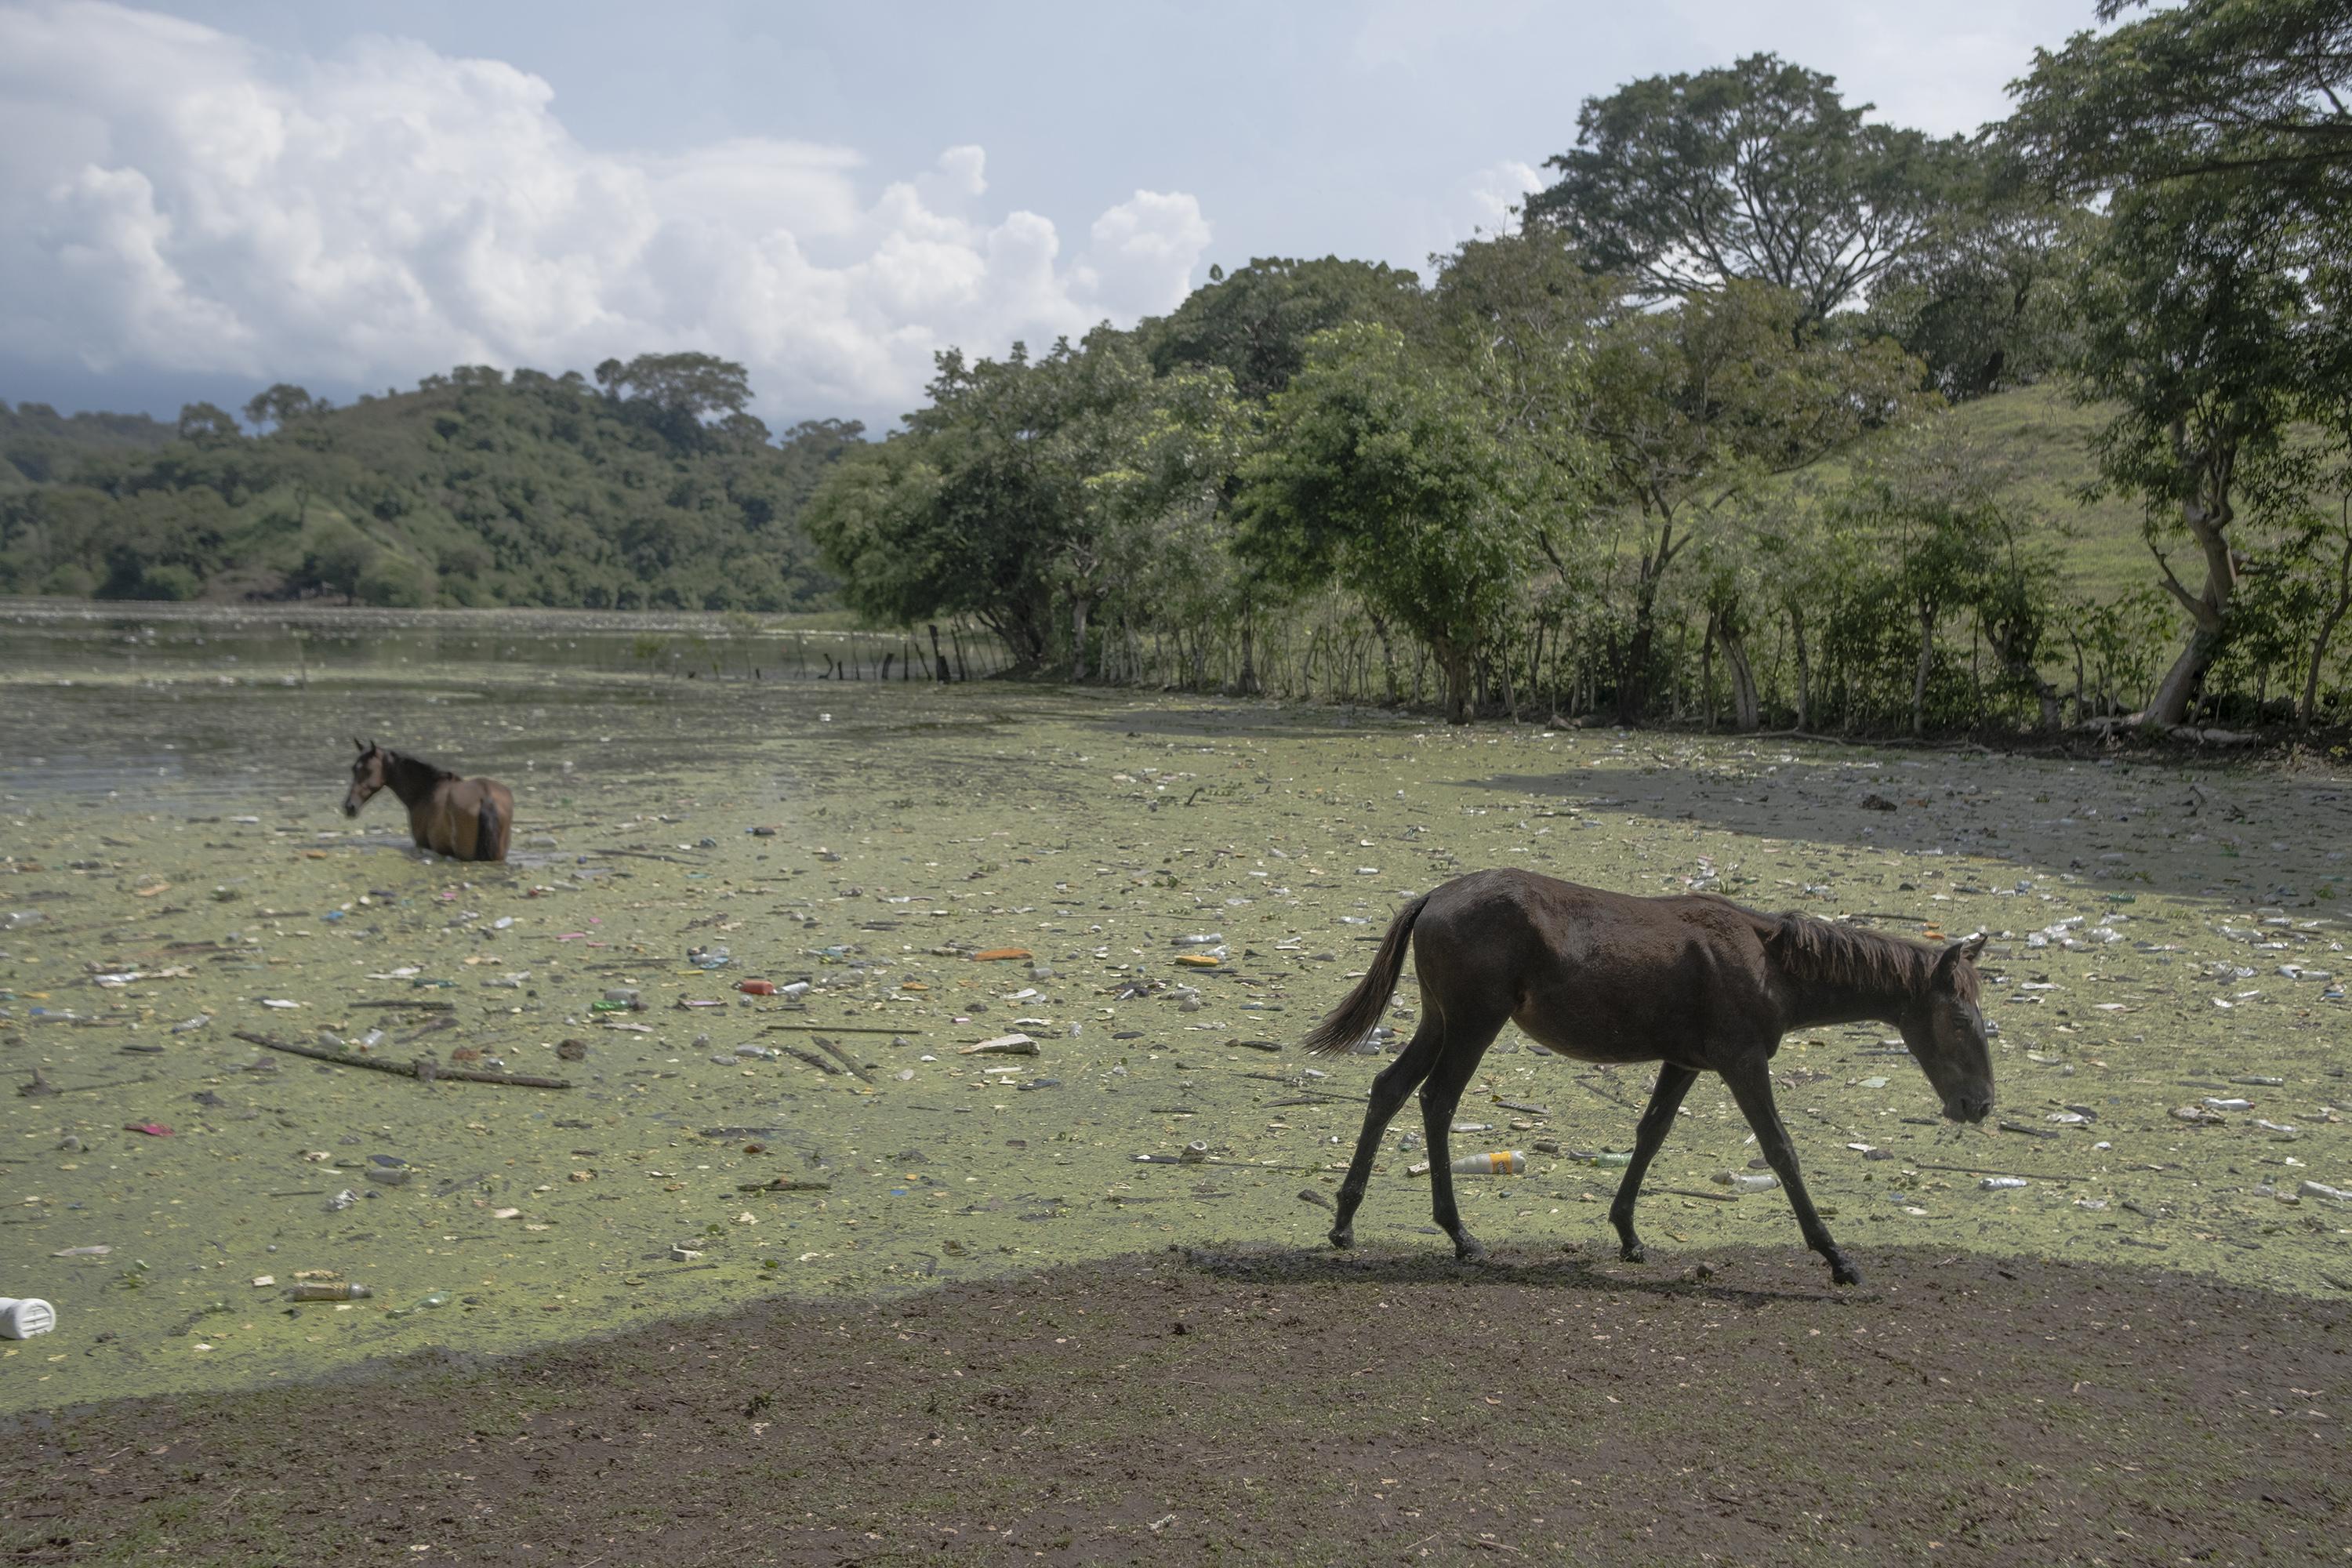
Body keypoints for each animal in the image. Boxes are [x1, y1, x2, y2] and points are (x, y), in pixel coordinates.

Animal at [343, 742, 513, 865]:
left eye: (368, 770)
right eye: (353, 768)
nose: (349, 806)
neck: (426, 791)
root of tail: (486, 795)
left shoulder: (421, 844)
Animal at [1298, 869, 1994, 1288]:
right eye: (1963, 1018)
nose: (1980, 1104)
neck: (1767, 962)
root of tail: (1433, 898)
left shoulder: (1685, 1063)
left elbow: (1651, 1134)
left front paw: (1629, 1234)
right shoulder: (1743, 1061)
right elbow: (1781, 1151)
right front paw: (1837, 1257)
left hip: (1440, 1020)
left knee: (1389, 1089)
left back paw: (1345, 1220)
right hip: (1473, 1023)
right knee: (1438, 1101)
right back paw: (1461, 1236)